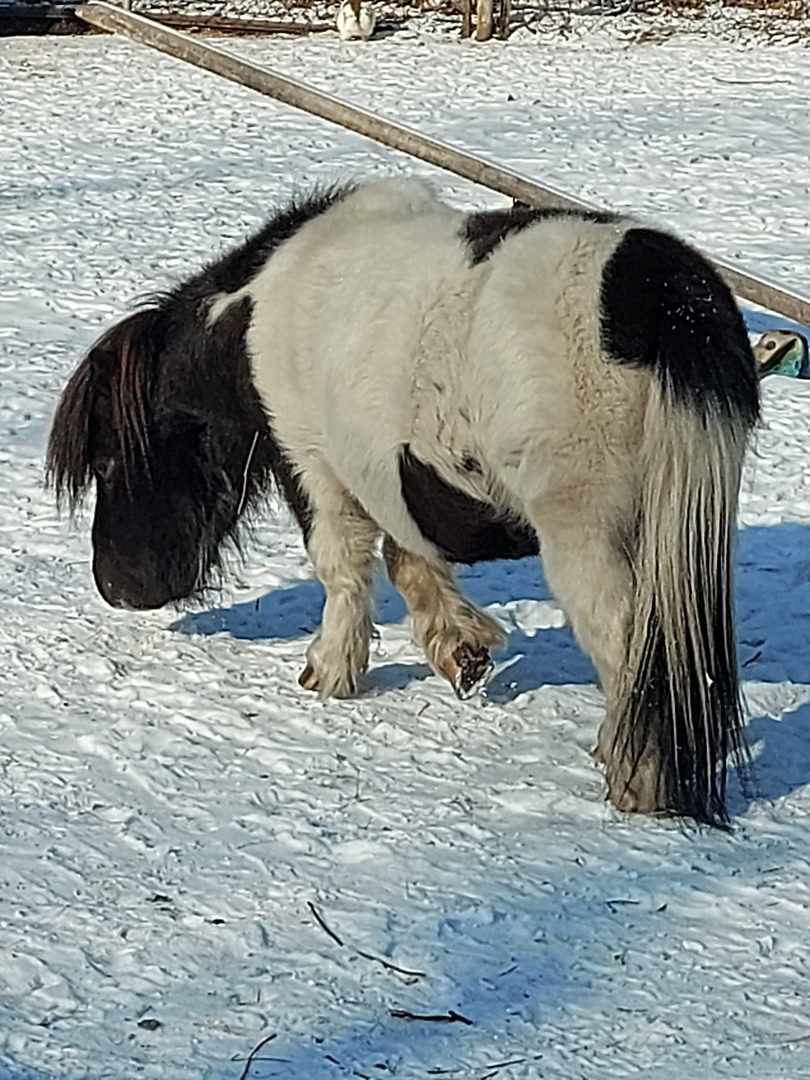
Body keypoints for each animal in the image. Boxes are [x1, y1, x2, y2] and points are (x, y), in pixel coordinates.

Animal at [49, 181, 760, 825]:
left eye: (108, 461)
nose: (115, 587)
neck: (258, 313)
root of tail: (663, 298)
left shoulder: (316, 466)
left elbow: (343, 567)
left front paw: (330, 672)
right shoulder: (383, 474)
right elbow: (408, 559)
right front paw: (461, 650)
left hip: (584, 534)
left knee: (630, 645)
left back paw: (635, 778)